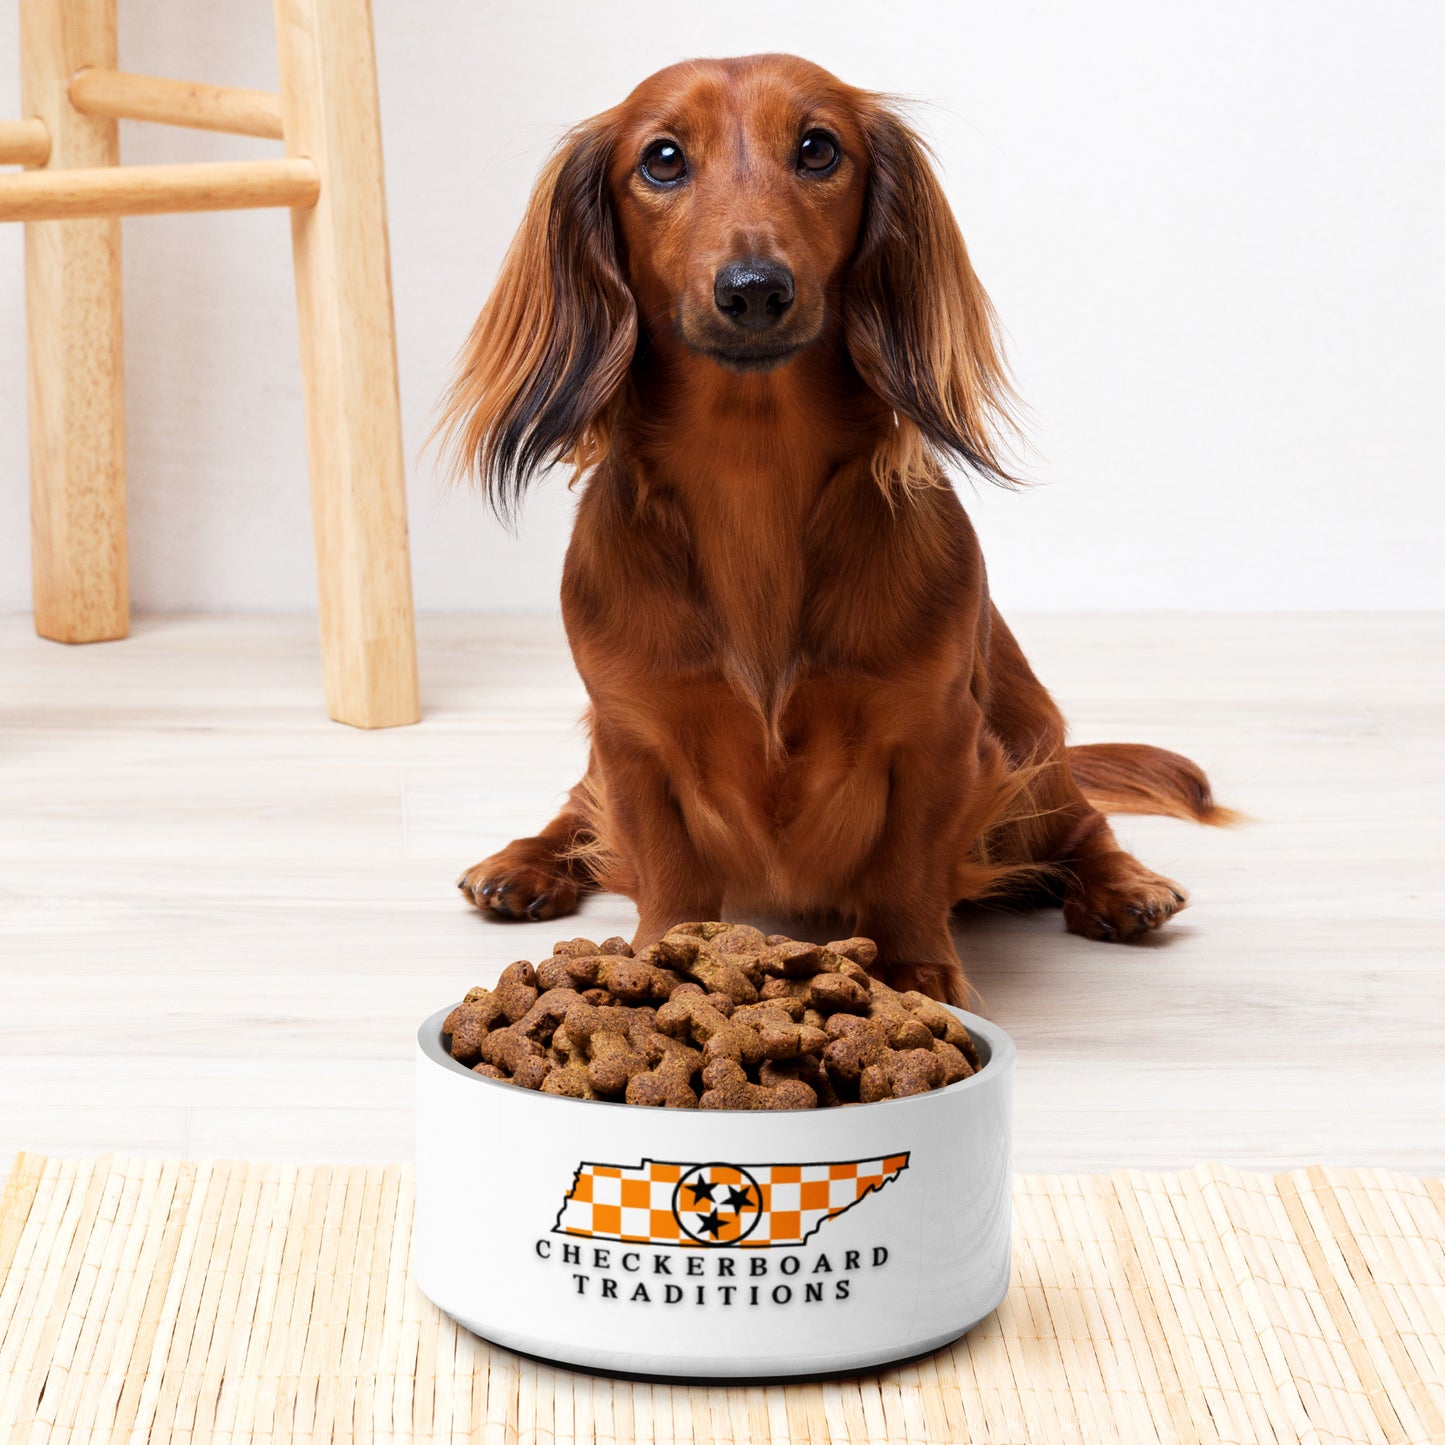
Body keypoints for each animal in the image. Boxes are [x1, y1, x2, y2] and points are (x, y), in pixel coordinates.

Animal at [442, 56, 1231, 1005]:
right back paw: (522, 863)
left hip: (1028, 744)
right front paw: (660, 959)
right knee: (576, 810)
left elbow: (905, 866)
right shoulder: (632, 736)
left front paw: (916, 971)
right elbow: (665, 866)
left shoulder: (936, 733)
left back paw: (1123, 885)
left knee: (1081, 823)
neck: (752, 472)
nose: (753, 290)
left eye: (818, 148)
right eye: (661, 159)